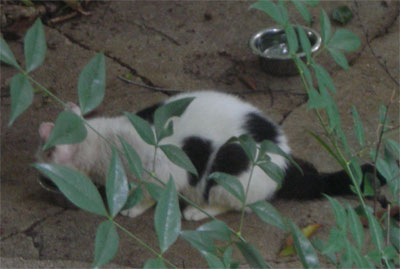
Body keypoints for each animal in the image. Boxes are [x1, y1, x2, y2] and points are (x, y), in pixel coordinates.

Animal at [36, 90, 380, 220]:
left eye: (47, 171)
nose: (39, 182)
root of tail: (285, 163)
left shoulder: (162, 172)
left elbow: (149, 194)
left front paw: (133, 207)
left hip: (225, 172)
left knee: (235, 204)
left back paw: (198, 211)